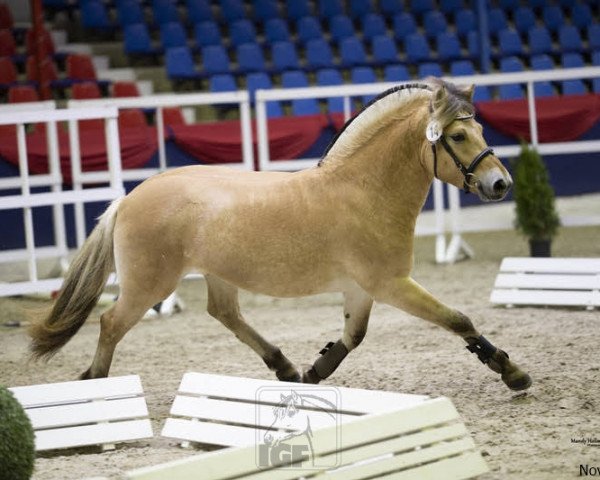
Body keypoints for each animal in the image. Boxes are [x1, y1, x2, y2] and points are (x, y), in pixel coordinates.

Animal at [30, 79, 532, 394]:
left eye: (481, 127)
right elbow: (458, 320)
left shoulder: (362, 289)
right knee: (110, 324)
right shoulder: (391, 284)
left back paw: (285, 368)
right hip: (148, 285)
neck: (364, 189)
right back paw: (97, 387)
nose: (501, 184)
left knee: (225, 314)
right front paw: (513, 373)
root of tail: (130, 198)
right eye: (460, 136)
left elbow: (352, 337)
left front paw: (313, 372)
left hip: (216, 275)